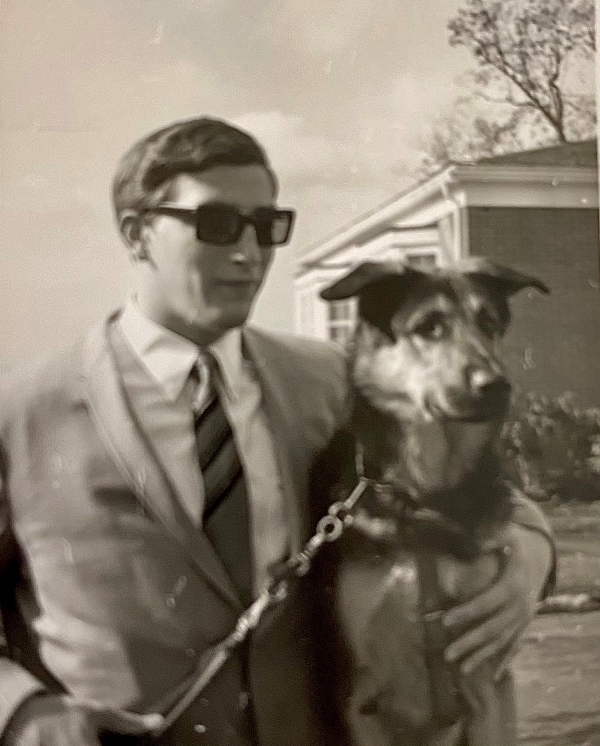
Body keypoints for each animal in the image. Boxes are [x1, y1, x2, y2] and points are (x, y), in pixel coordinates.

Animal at [312, 258, 552, 744]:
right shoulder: (358, 700)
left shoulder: (488, 681)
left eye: (489, 323)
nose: (496, 385)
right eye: (429, 327)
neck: (424, 498)